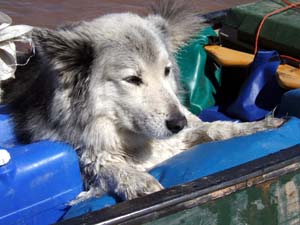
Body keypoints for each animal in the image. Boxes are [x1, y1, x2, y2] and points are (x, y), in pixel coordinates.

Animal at [1, 0, 284, 204]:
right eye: (133, 79)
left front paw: (256, 127)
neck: (136, 142)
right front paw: (139, 182)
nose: (177, 123)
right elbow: (108, 166)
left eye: (166, 71)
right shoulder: (89, 158)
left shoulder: (182, 134)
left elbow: (215, 130)